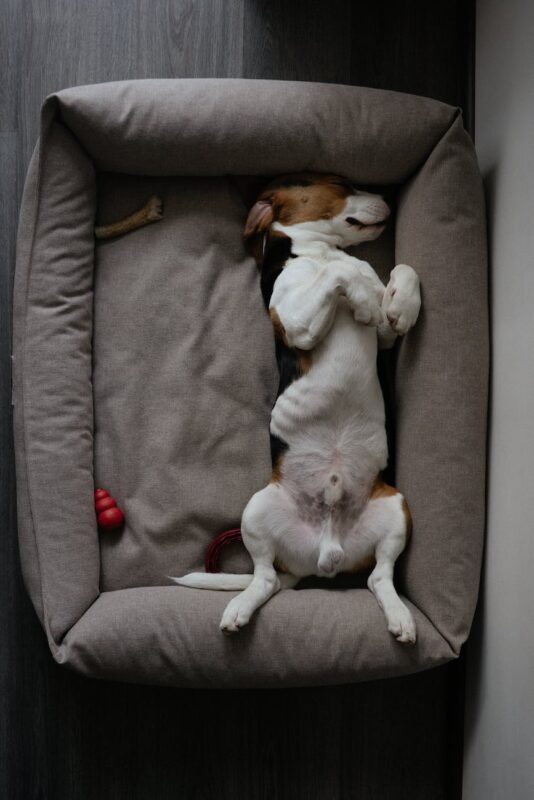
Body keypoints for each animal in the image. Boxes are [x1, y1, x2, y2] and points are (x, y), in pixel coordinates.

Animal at [174, 173, 420, 644]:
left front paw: (400, 303)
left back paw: (400, 616)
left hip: (396, 509)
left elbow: (401, 272)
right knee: (263, 577)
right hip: (256, 510)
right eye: (339, 183)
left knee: (378, 577)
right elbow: (344, 275)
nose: (389, 196)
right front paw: (364, 297)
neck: (318, 251)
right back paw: (239, 608)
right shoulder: (295, 323)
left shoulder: (382, 335)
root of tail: (323, 555)